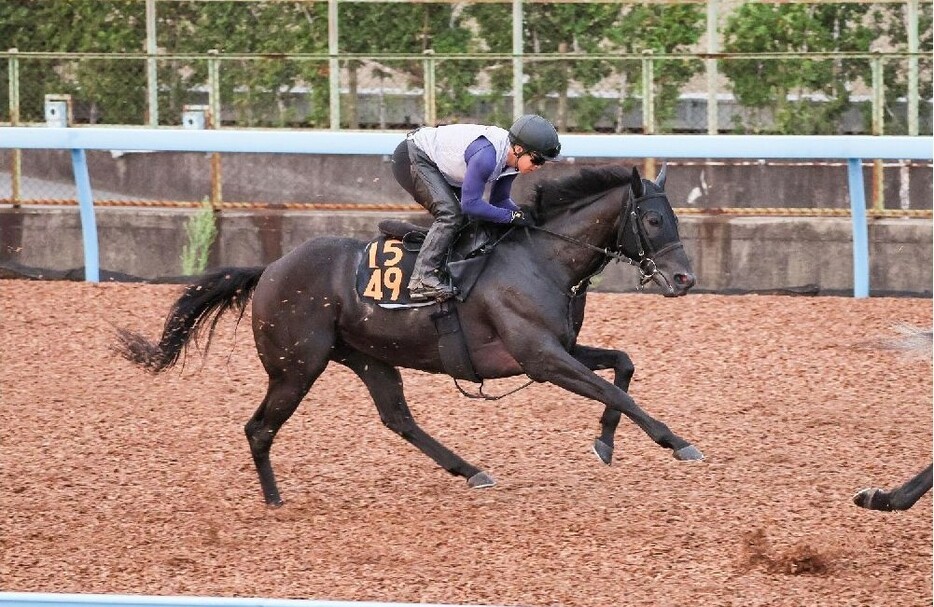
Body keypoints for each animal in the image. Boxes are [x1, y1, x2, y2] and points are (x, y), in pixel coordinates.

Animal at [115, 163, 704, 508]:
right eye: (653, 221)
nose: (683, 279)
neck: (543, 257)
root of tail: (270, 269)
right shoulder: (540, 357)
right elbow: (614, 389)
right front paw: (676, 442)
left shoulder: (560, 348)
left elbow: (622, 365)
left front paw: (606, 442)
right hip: (296, 368)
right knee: (259, 428)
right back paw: (275, 499)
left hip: (369, 357)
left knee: (397, 418)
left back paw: (471, 471)